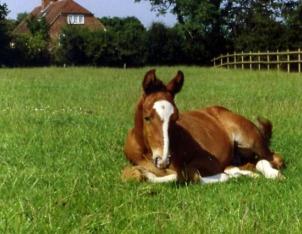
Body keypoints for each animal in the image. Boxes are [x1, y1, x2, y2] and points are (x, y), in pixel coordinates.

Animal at [121, 69, 284, 183]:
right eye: (147, 118)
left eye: (176, 118)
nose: (163, 160)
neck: (145, 150)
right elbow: (131, 175)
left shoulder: (209, 161)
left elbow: (186, 174)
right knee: (247, 164)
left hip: (249, 140)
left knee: (273, 158)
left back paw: (274, 174)